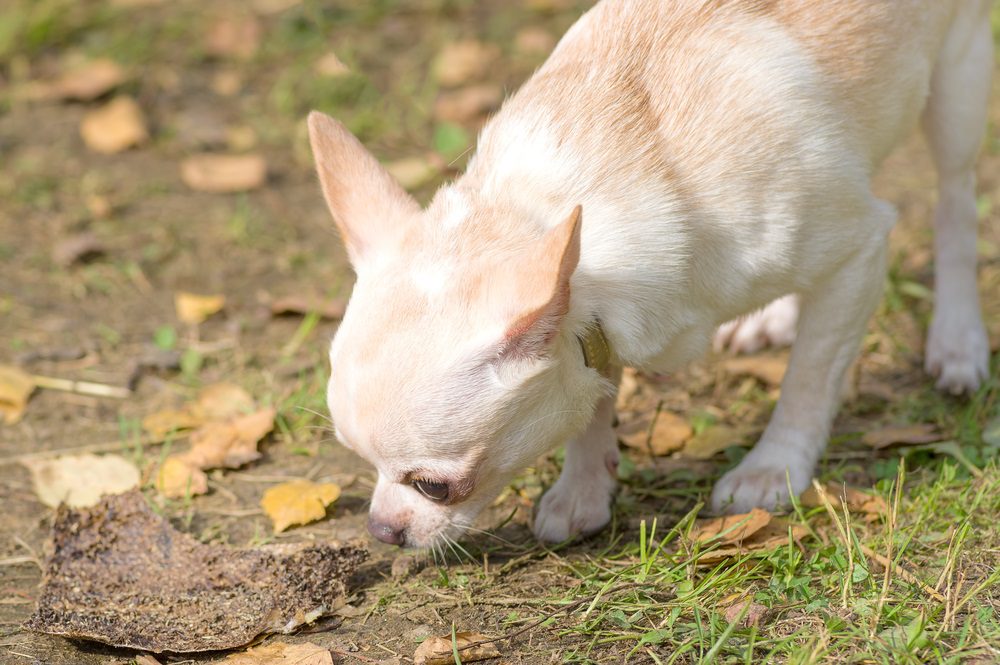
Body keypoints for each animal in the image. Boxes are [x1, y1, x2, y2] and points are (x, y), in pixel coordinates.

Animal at [306, 1, 992, 548]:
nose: (381, 530)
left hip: (958, 87)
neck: (538, 208)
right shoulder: (588, 319)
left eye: (434, 485)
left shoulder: (859, 250)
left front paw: (773, 467)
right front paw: (583, 487)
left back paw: (958, 338)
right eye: (358, 463)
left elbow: (810, 377)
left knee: (956, 203)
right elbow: (592, 394)